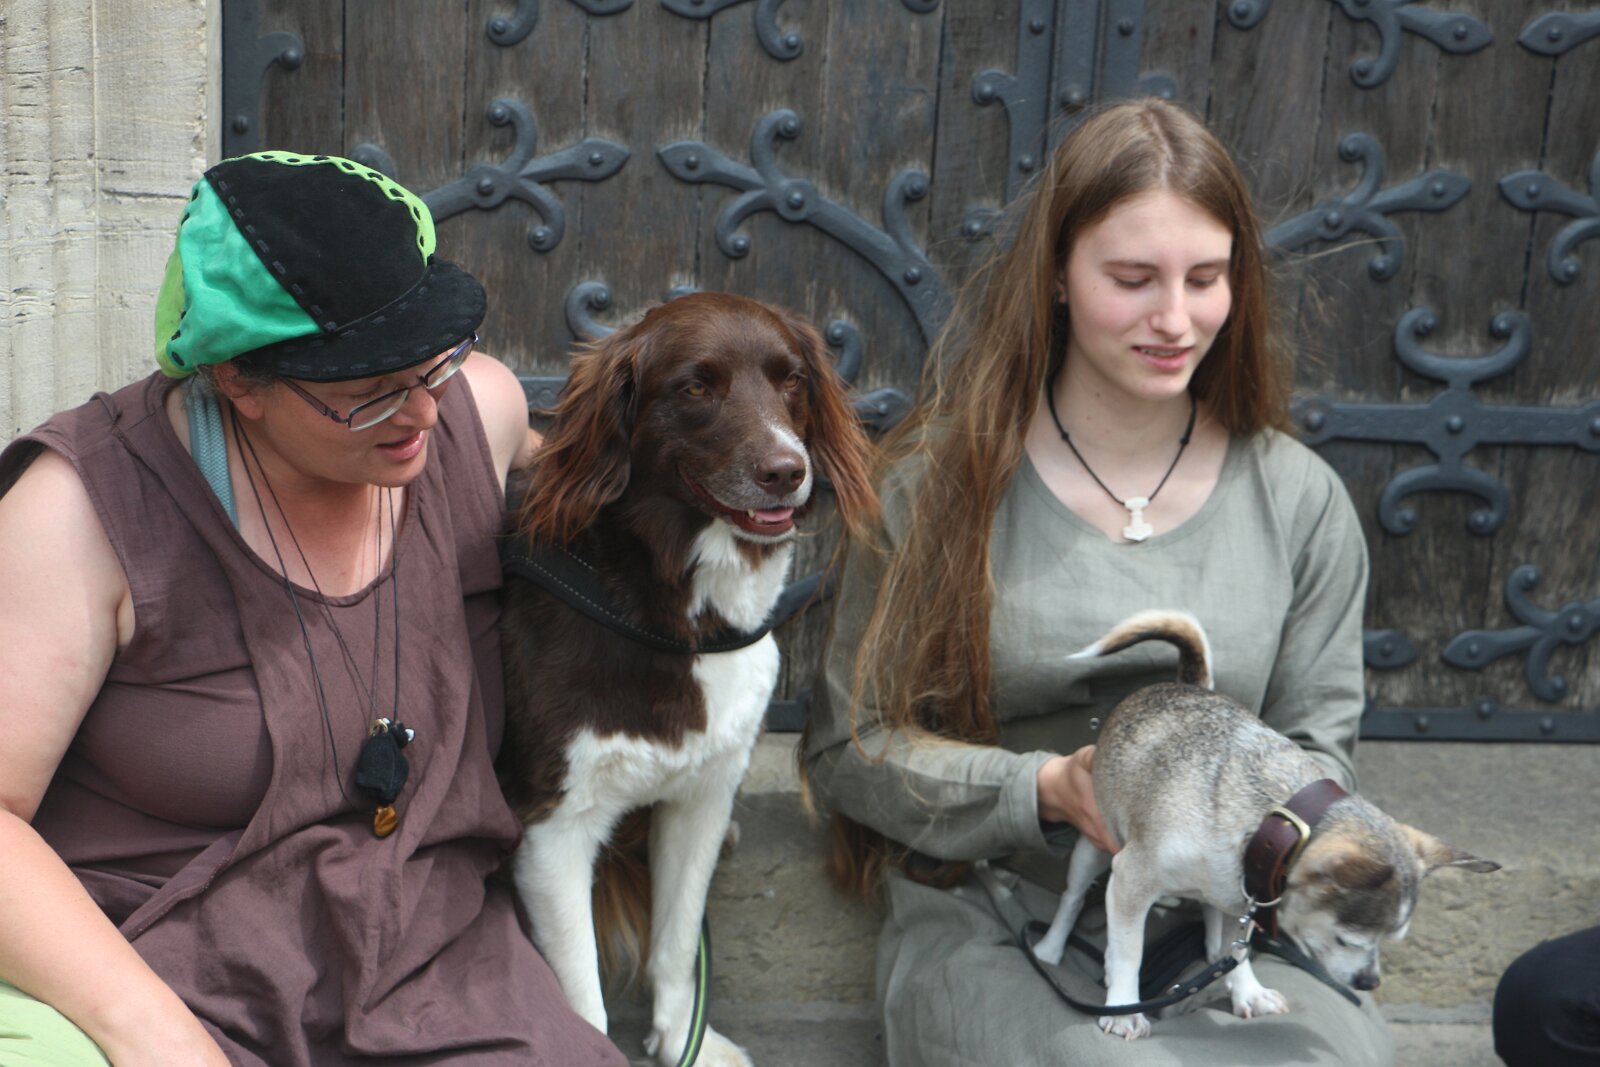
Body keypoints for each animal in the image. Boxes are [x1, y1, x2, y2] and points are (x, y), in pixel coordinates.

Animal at [498, 291, 876, 1066]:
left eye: (793, 380)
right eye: (696, 387)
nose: (787, 470)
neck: (677, 616)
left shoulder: (702, 795)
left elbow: (676, 941)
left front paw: (685, 1039)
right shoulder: (553, 824)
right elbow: (583, 1001)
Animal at [1031, 609, 1498, 1040]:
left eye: (1391, 939)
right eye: (1347, 940)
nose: (1370, 981)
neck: (1273, 820)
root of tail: (1185, 684)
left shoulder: (1242, 902)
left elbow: (1236, 950)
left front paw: (1247, 992)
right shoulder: (1131, 878)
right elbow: (1129, 950)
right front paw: (1125, 1008)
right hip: (1094, 848)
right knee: (1072, 899)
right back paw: (1050, 950)